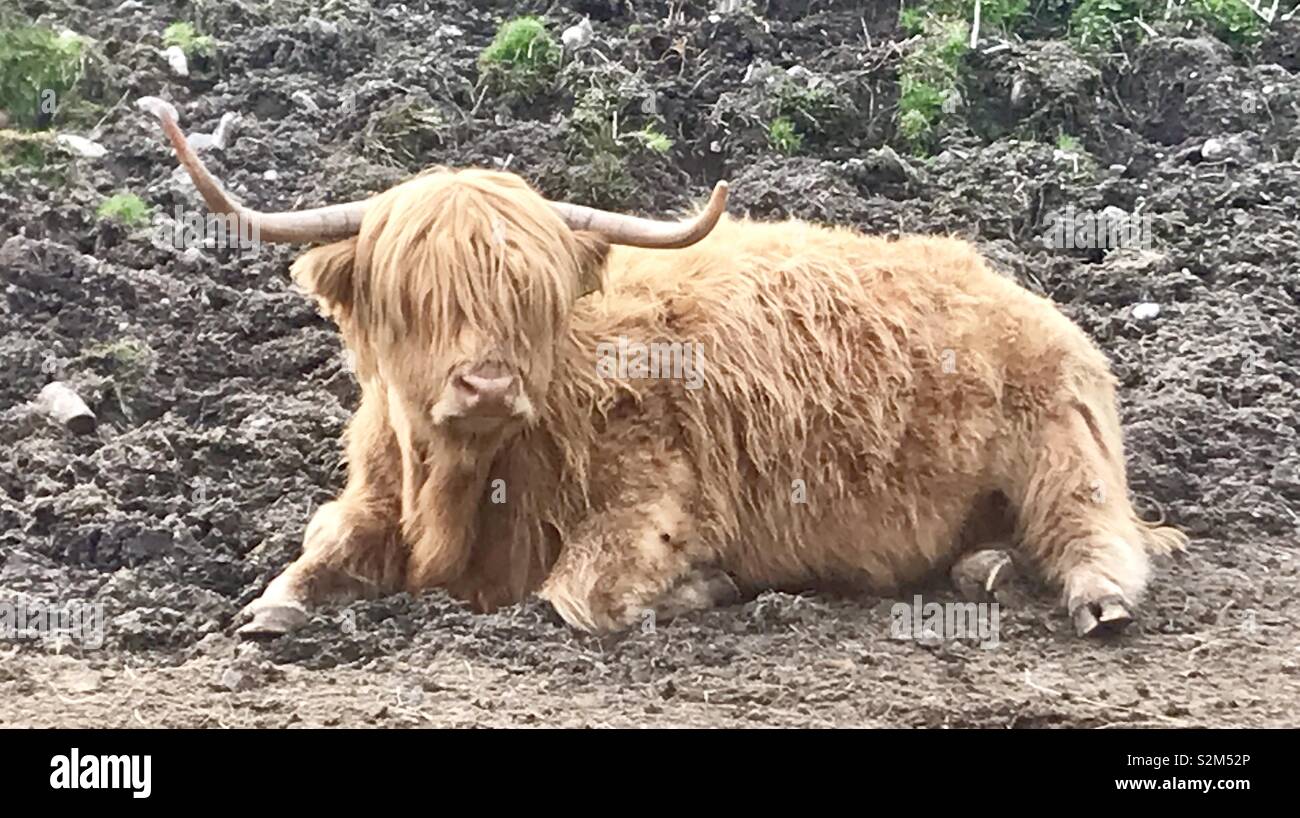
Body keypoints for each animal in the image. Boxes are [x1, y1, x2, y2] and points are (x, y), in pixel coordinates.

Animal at [145, 103, 1185, 640]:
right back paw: (988, 569)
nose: (487, 385)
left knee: (1097, 531)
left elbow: (578, 598)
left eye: (530, 292)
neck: (463, 483)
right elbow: (308, 562)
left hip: (1062, 445)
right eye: (418, 291)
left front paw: (711, 588)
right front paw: (273, 609)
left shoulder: (655, 504)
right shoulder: (368, 497)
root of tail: (1005, 281)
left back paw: (1095, 600)